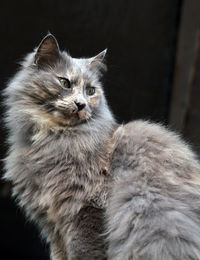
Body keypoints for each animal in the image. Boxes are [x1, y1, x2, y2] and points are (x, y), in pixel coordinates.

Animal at [3, 34, 200, 260]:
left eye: (90, 91)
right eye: (64, 82)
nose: (81, 104)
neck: (54, 138)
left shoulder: (86, 206)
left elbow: (83, 252)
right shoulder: (53, 225)